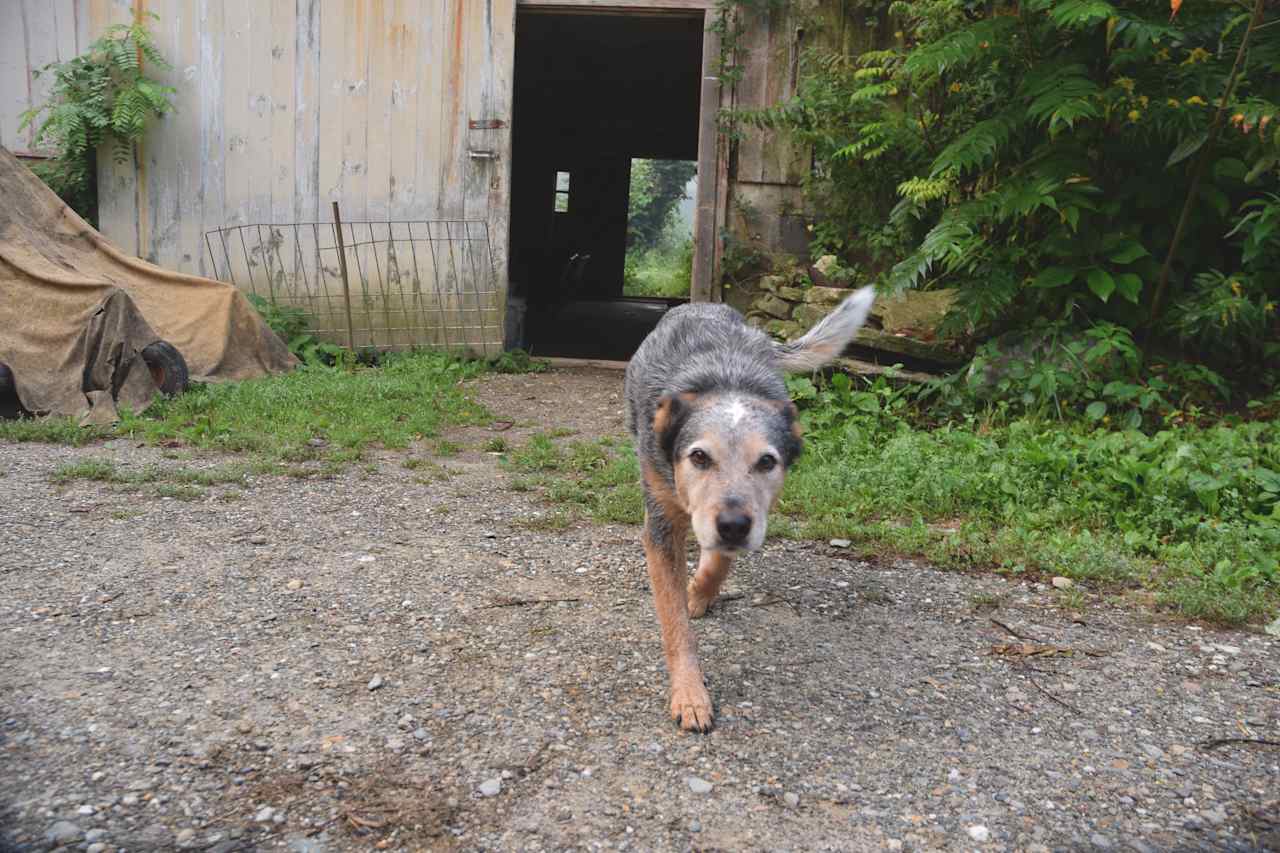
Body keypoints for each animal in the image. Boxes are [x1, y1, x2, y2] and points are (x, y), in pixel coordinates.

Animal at [624, 286, 875, 732]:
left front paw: (700, 592)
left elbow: (719, 564)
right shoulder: (661, 526)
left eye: (767, 462)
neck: (725, 380)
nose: (733, 525)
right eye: (699, 457)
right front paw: (690, 695)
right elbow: (675, 626)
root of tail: (704, 304)